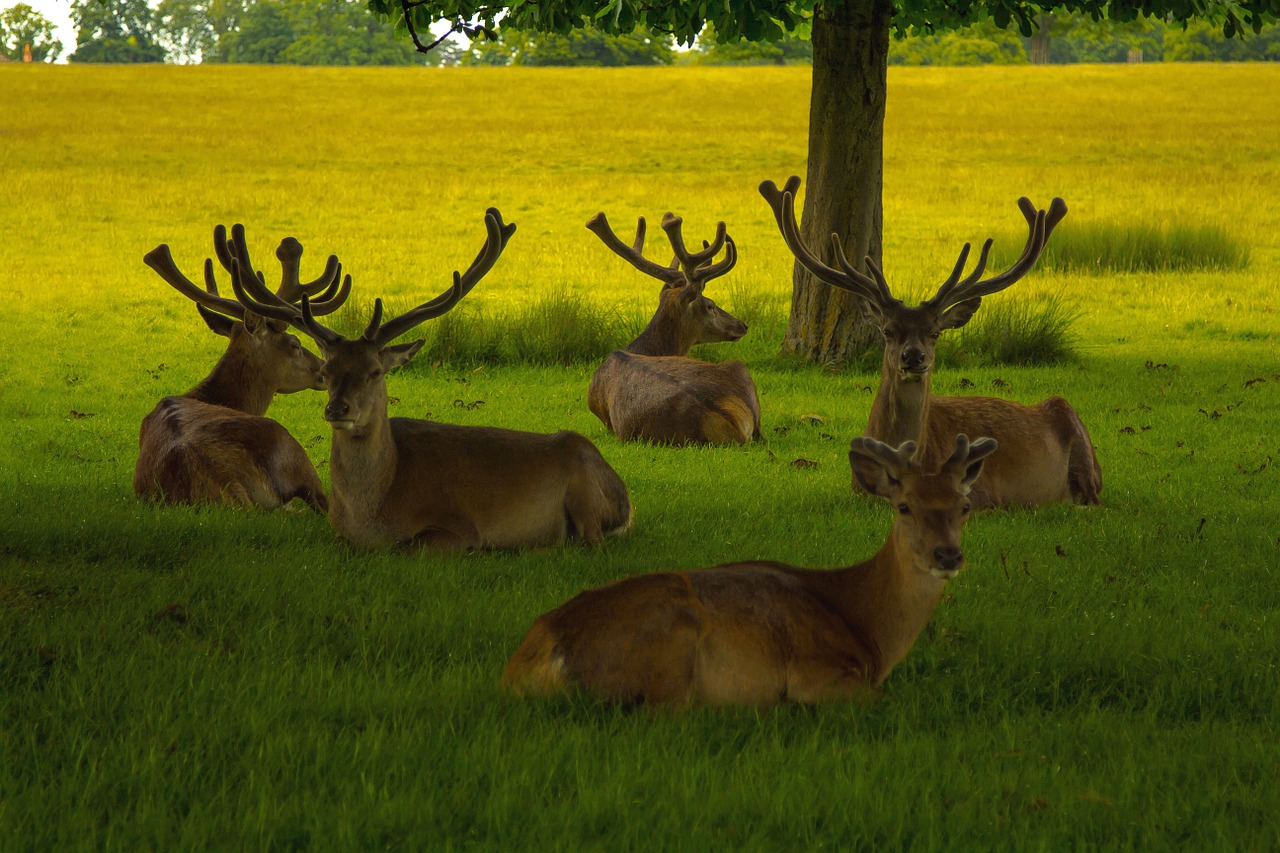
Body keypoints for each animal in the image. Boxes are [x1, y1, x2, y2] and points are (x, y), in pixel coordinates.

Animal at [230, 208, 634, 548]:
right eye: (327, 372)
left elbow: (413, 546)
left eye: (375, 371)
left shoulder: (457, 528)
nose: (337, 409)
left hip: (584, 487)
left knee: (591, 539)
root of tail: (626, 501)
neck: (370, 518)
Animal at [504, 432, 993, 701]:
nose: (948, 555)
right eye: (904, 506)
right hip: (668, 643)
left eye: (965, 506)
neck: (865, 625)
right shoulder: (816, 671)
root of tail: (531, 658)